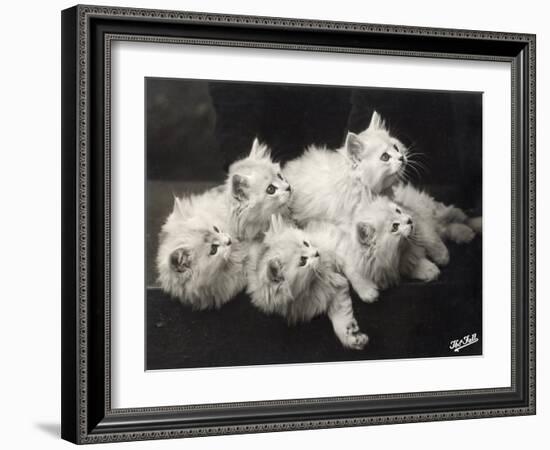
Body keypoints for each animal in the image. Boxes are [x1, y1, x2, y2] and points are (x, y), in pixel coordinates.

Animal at [249, 216, 370, 350]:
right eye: (303, 261)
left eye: (306, 243)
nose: (317, 253)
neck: (312, 282)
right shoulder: (330, 291)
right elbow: (341, 318)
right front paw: (351, 336)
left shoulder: (335, 242)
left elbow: (353, 269)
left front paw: (368, 290)